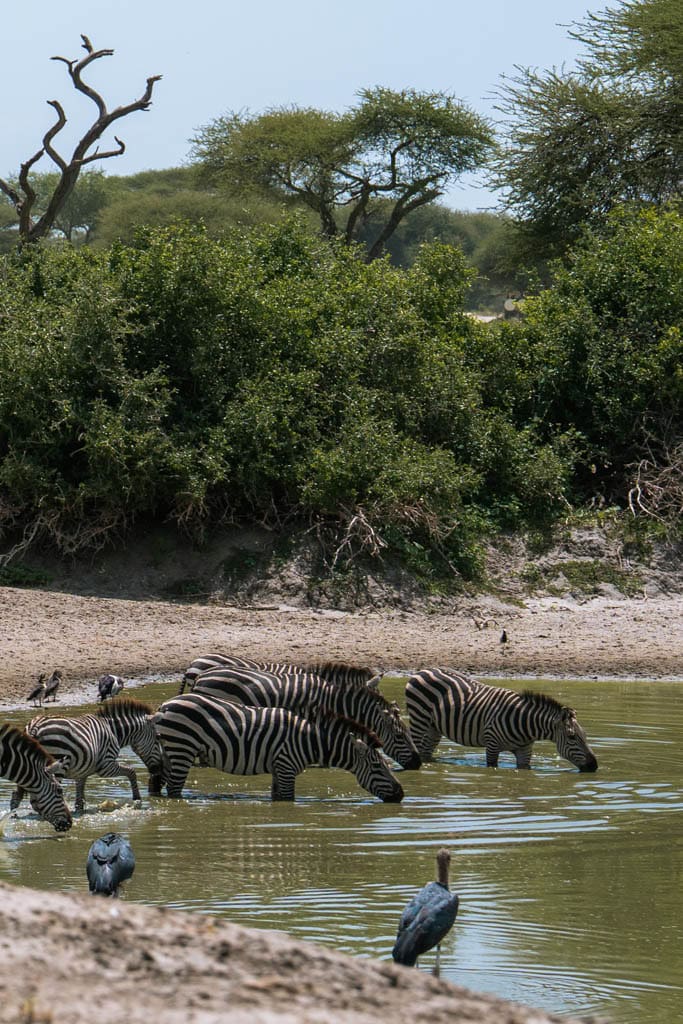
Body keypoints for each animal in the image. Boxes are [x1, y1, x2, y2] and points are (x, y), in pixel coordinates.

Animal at [11, 698, 162, 813]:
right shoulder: (106, 766)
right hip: (56, 765)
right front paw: (137, 800)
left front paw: (79, 810)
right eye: (158, 738)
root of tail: (35, 726)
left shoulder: (82, 770)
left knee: (16, 797)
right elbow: (131, 772)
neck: (113, 731)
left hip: (25, 767)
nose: (157, 770)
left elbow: (80, 794)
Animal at [151, 691, 405, 802]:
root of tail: (164, 705)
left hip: (170, 751)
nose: (401, 794)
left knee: (156, 784)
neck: (310, 740)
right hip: (182, 748)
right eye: (378, 767)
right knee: (173, 790)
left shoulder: (277, 768)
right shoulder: (286, 767)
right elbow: (288, 801)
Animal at [404, 669, 598, 771]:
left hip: (433, 727)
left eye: (585, 735)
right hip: (419, 719)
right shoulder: (492, 745)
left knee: (426, 751)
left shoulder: (525, 751)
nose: (594, 766)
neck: (525, 725)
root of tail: (422, 670)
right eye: (572, 737)